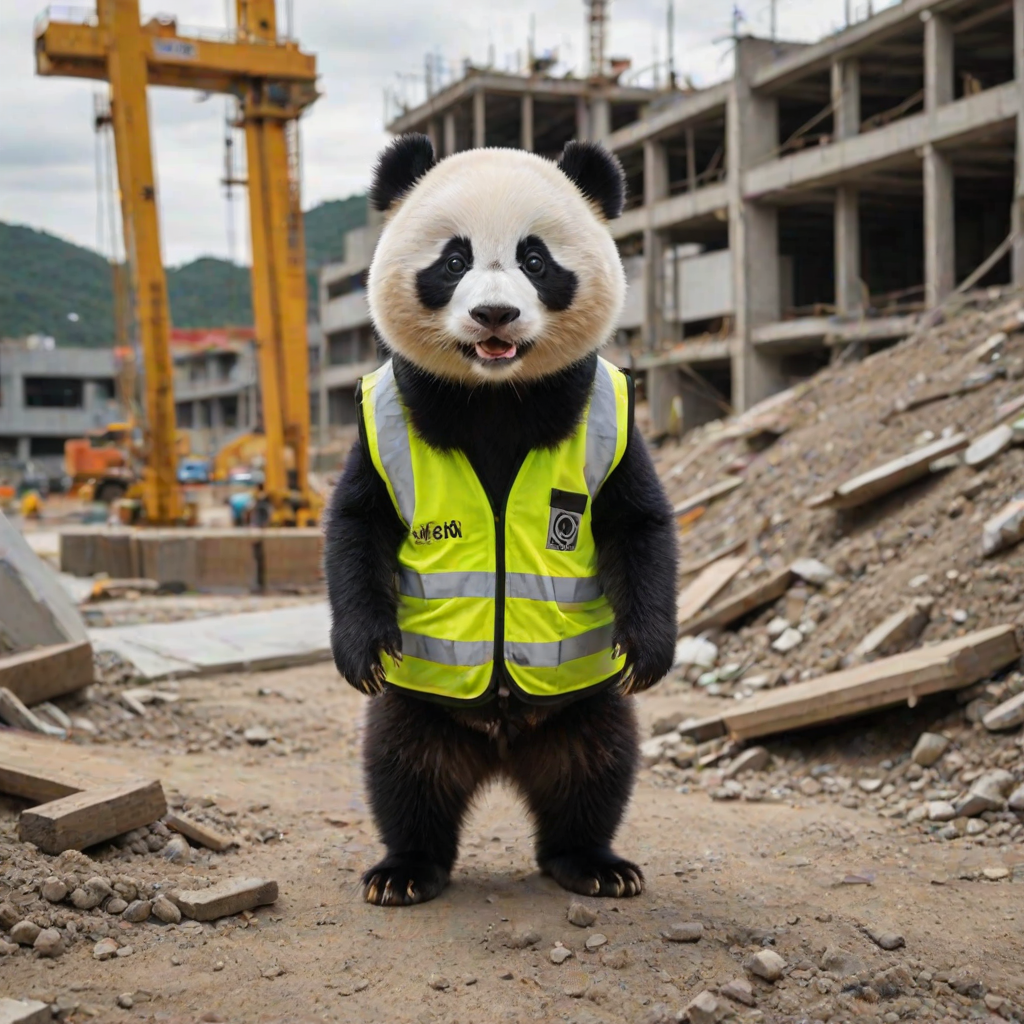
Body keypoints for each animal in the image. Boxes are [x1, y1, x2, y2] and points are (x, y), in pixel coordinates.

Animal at [325, 134, 678, 907]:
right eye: (453, 261)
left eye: (535, 260)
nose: (494, 316)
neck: (496, 391)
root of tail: (501, 740)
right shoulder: (395, 412)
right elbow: (357, 522)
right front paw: (360, 651)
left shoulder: (599, 410)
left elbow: (637, 523)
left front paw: (649, 651)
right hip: (421, 704)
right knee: (401, 772)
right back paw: (406, 870)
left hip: (581, 706)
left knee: (598, 769)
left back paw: (592, 863)